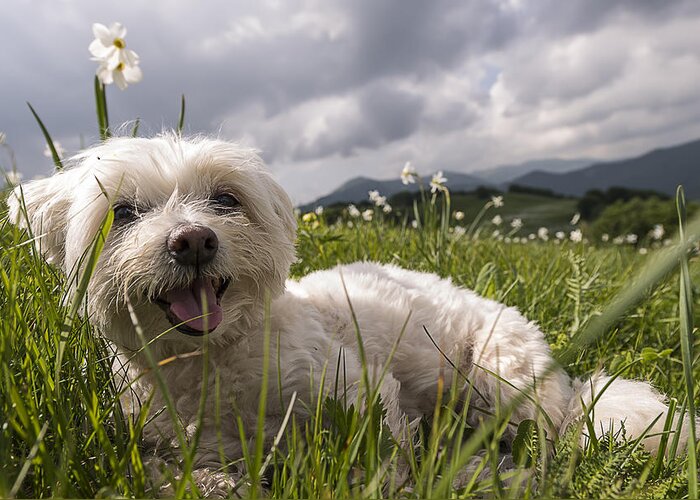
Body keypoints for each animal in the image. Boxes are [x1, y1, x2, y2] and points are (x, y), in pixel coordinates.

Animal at [6, 134, 696, 496]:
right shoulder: (181, 442)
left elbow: (382, 457)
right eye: (123, 213)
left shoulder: (355, 387)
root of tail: (569, 381)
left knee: (546, 445)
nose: (194, 241)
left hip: (502, 379)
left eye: (225, 199)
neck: (215, 361)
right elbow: (180, 473)